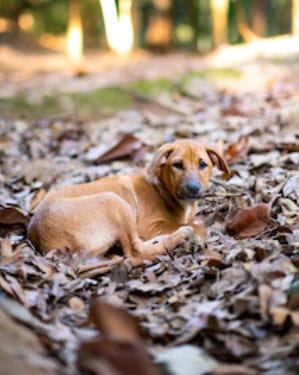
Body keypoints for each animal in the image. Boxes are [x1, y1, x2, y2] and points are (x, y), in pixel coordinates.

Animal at [27, 140, 230, 268]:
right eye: (178, 165)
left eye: (203, 164)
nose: (193, 188)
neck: (162, 188)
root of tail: (42, 238)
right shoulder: (149, 225)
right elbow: (197, 224)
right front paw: (197, 236)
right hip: (114, 201)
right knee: (136, 251)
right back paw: (181, 237)